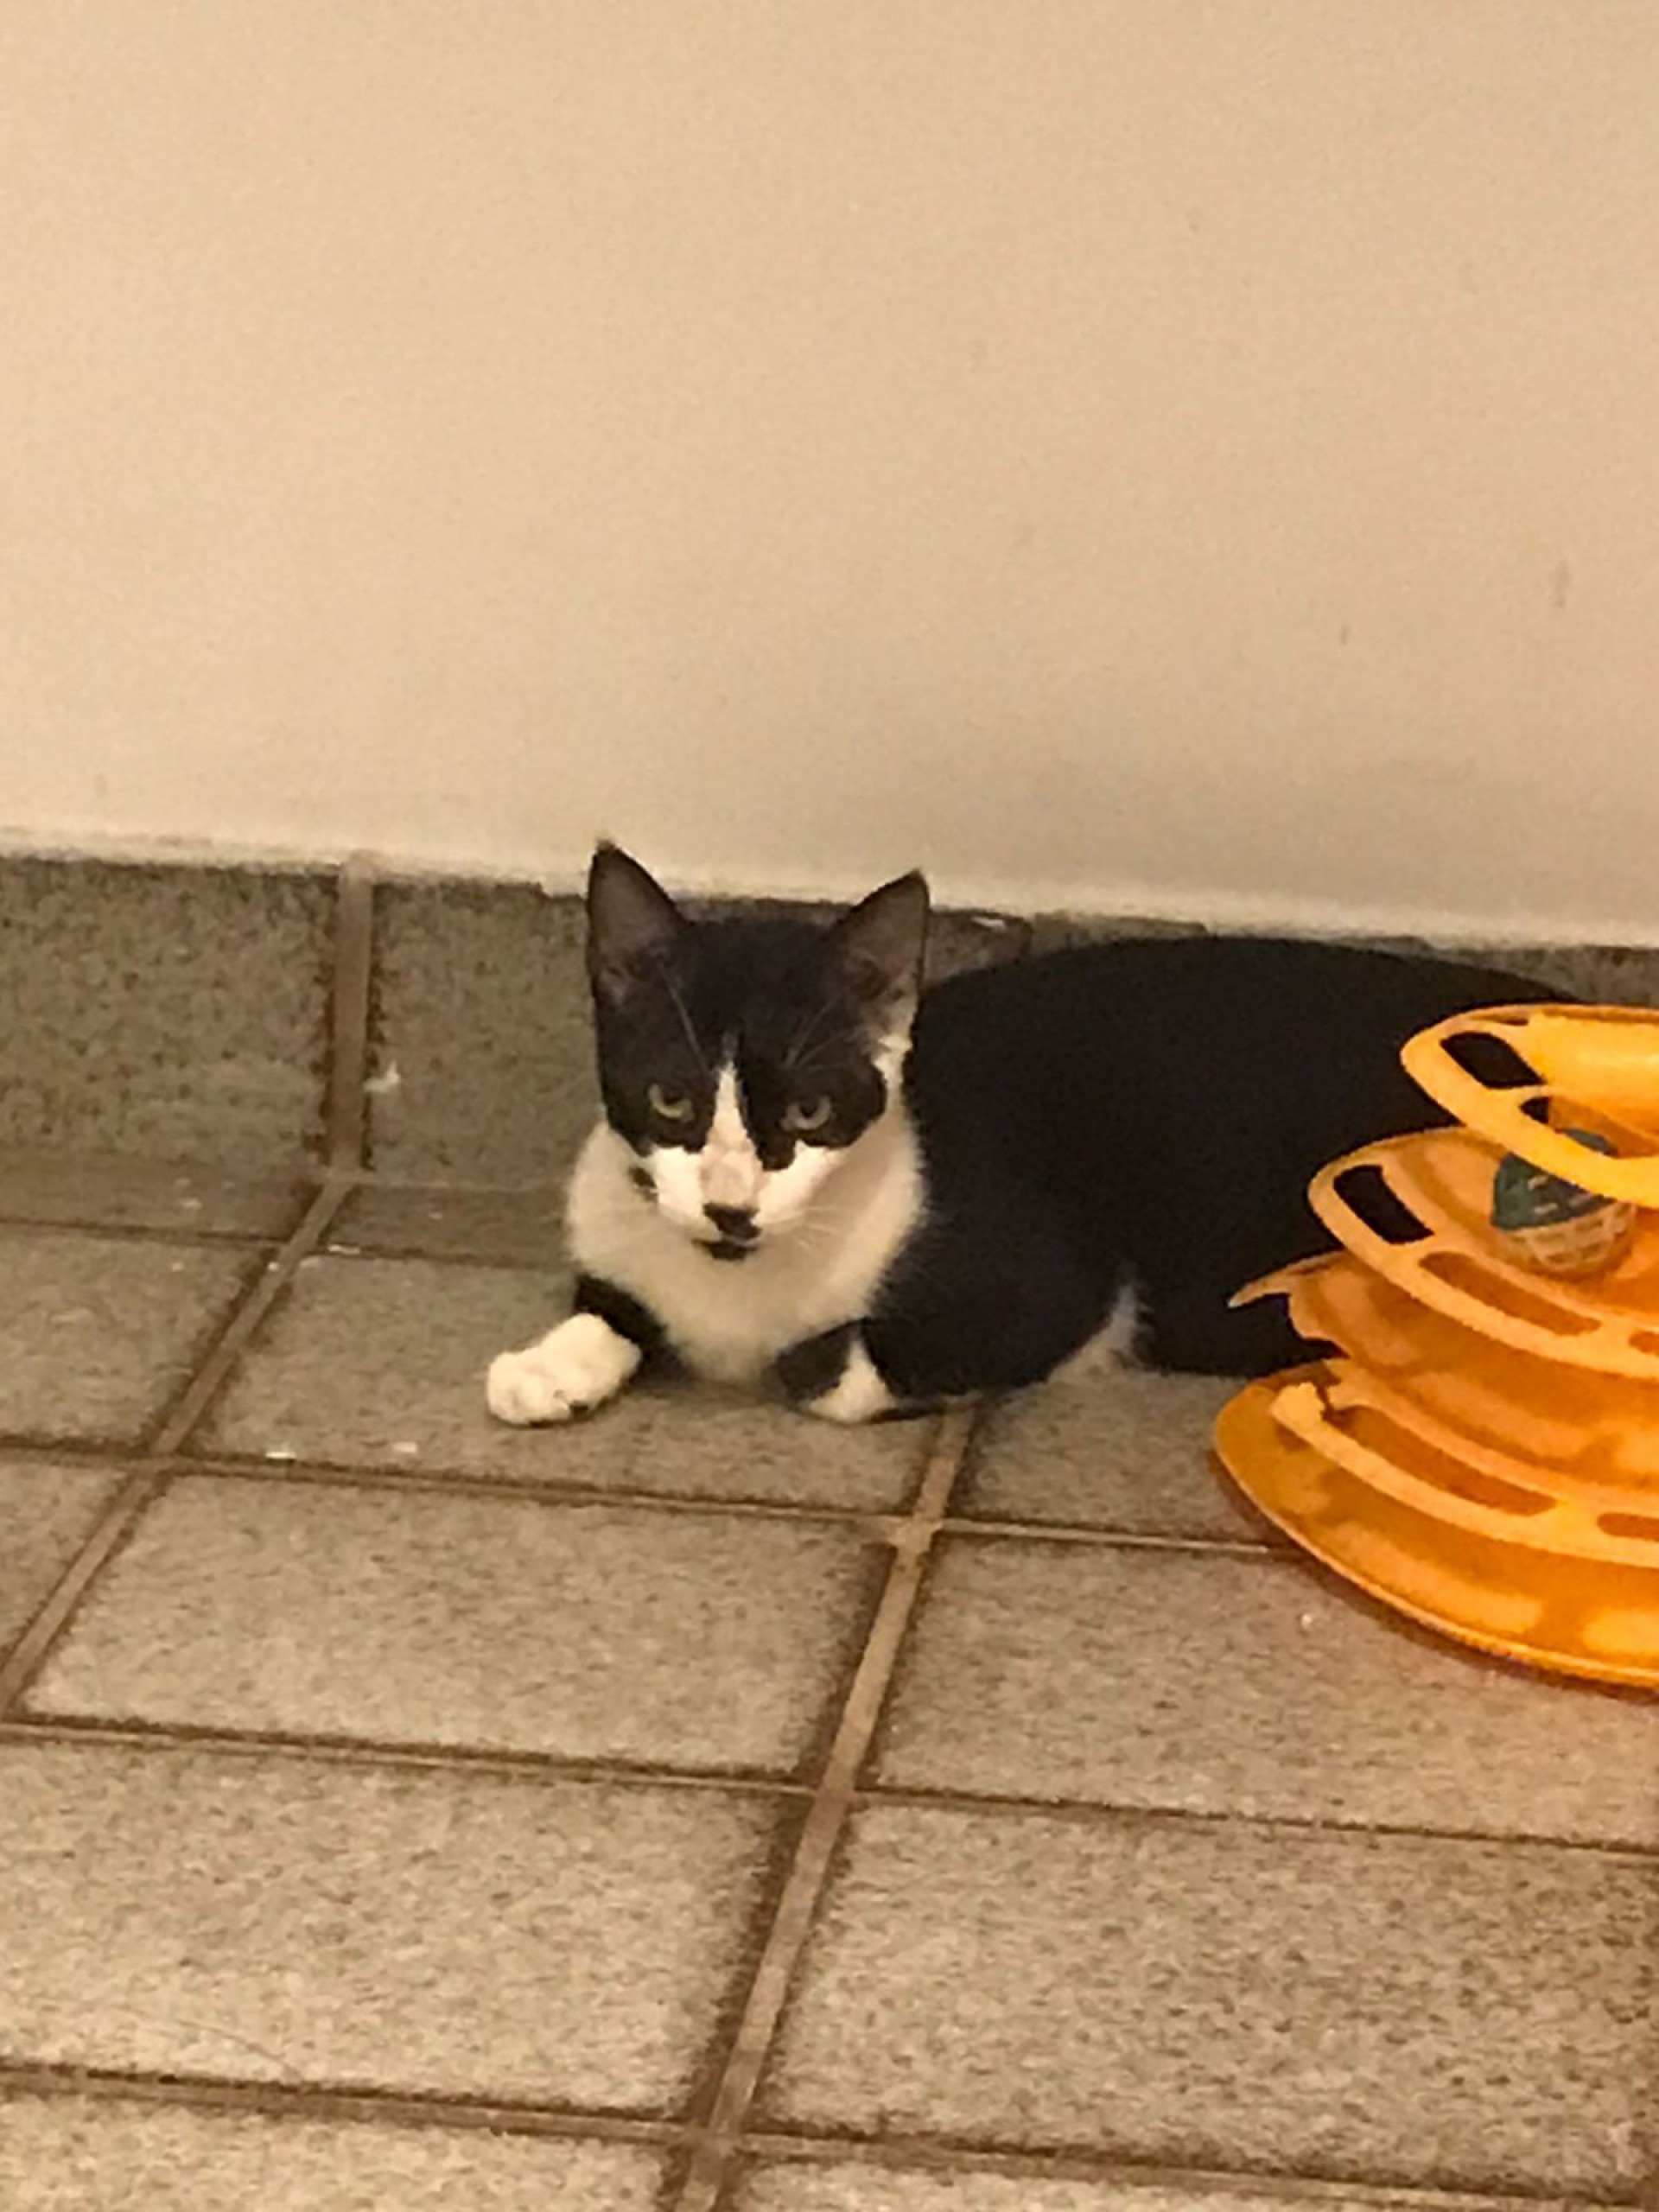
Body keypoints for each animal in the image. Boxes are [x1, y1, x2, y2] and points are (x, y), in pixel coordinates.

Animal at [486, 843, 1558, 1426]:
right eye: (671, 1100)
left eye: (808, 1112)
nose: (729, 1206)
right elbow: (614, 1302)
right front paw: (551, 1363)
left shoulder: (1058, 1275)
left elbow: (837, 1359)